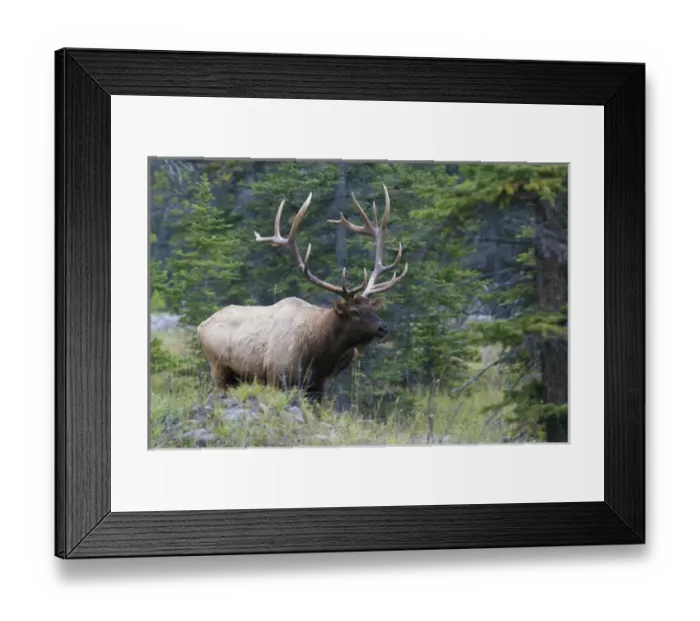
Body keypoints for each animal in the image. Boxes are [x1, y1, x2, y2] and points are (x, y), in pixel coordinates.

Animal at [196, 185, 408, 402]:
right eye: (354, 312)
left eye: (372, 309)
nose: (383, 327)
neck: (318, 354)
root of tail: (201, 326)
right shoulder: (277, 376)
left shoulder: (317, 387)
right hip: (219, 369)